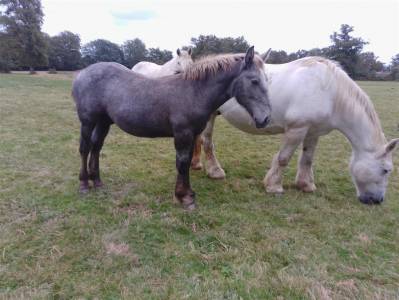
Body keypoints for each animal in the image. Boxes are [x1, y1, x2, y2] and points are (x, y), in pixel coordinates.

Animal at [193, 54, 396, 204]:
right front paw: (273, 186)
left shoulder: (313, 132)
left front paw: (306, 185)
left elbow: (307, 159)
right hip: (211, 116)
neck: (329, 92)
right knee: (207, 142)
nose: (377, 200)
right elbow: (283, 158)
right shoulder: (296, 129)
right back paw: (215, 171)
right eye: (386, 170)